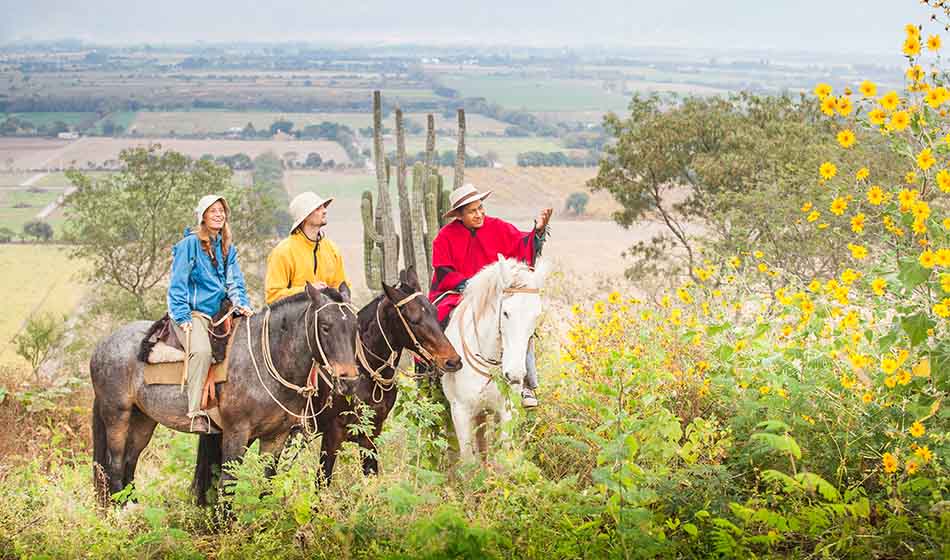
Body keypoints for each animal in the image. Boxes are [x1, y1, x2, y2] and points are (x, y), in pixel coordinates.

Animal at [91, 282, 358, 506]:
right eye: (325, 327)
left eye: (354, 327)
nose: (349, 380)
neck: (267, 357)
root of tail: (103, 344)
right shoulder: (235, 433)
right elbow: (228, 483)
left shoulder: (276, 437)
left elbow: (267, 483)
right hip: (117, 415)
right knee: (115, 463)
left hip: (143, 419)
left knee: (130, 461)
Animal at [440, 256, 548, 462]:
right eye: (505, 313)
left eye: (536, 315)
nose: (514, 374)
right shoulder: (460, 412)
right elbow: (467, 460)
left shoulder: (506, 410)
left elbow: (503, 453)